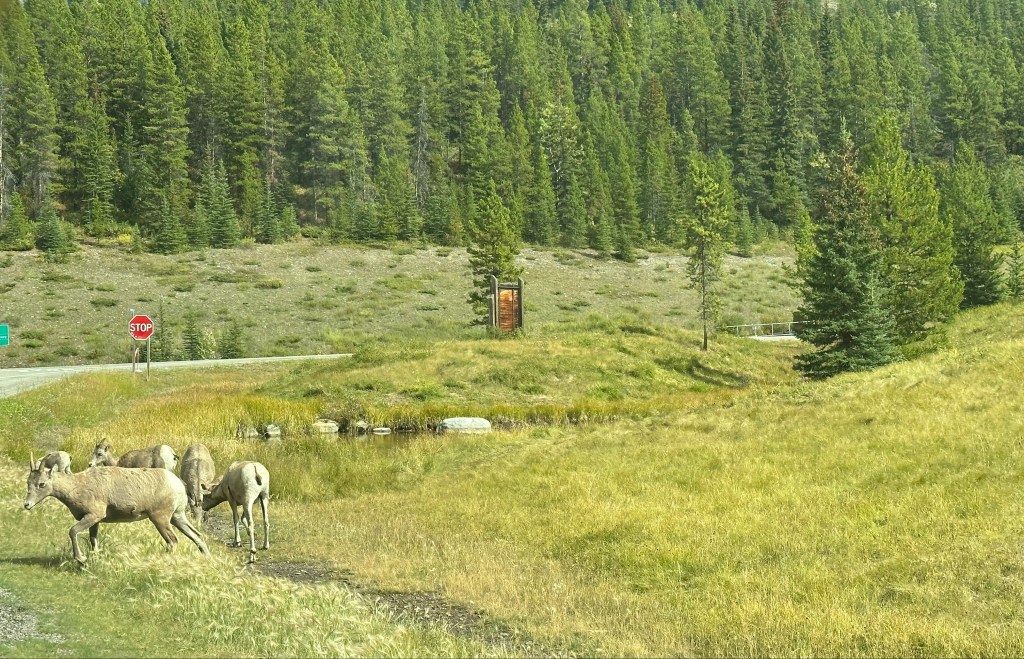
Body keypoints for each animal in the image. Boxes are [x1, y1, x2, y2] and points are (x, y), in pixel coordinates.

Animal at [24, 453, 210, 564]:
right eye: (28, 482)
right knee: (197, 536)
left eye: (42, 484)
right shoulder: (95, 521)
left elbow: (73, 531)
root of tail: (178, 484)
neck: (78, 486)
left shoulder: (94, 515)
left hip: (160, 518)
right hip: (177, 517)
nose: (26, 505)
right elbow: (93, 540)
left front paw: (81, 558)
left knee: (173, 541)